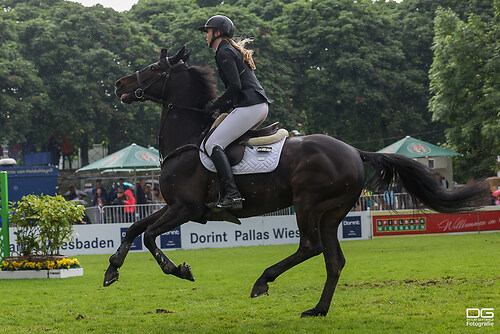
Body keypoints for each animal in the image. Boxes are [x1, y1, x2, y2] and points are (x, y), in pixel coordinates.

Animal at [108, 46, 488, 316]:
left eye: (154, 69)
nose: (119, 84)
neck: (188, 140)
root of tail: (354, 151)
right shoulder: (174, 206)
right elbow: (135, 229)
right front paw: (112, 270)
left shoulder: (187, 208)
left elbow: (151, 237)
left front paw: (179, 269)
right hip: (333, 213)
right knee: (333, 260)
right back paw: (318, 310)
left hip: (307, 204)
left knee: (310, 247)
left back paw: (263, 281)